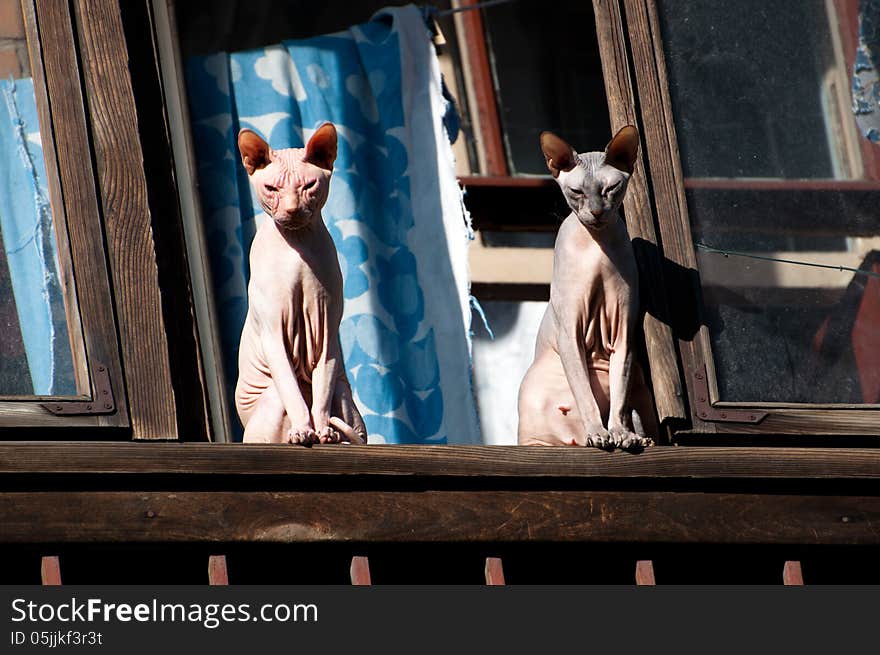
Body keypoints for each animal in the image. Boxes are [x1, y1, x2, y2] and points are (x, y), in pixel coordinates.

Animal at [232, 121, 366, 446]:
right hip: (270, 395)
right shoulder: (273, 335)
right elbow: (294, 395)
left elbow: (321, 394)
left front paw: (323, 431)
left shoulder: (327, 335)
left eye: (309, 186)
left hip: (343, 391)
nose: (292, 210)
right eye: (272, 188)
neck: (298, 248)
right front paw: (304, 430)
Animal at [520, 124, 656, 452]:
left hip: (641, 386)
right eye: (577, 192)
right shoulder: (570, 332)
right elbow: (585, 394)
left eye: (611, 189)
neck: (598, 248)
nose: (596, 213)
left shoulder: (623, 334)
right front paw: (598, 432)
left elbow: (619, 398)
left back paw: (641, 437)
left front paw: (621, 433)